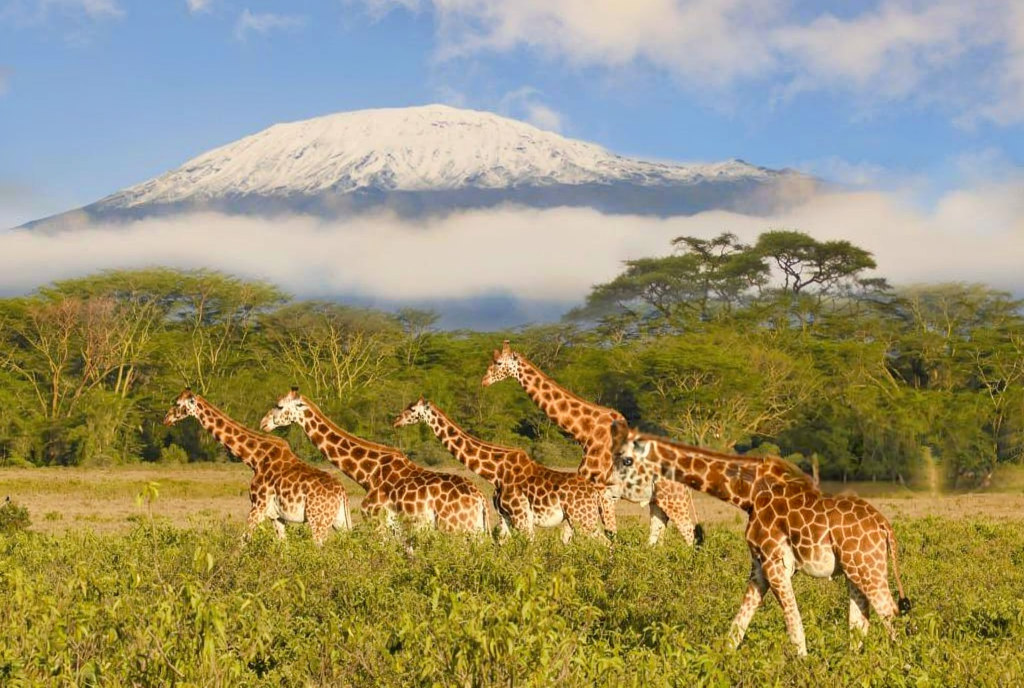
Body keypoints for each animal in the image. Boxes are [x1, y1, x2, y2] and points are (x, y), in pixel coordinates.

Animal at [162, 388, 351, 546]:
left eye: (177, 403)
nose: (166, 419)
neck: (254, 458)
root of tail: (342, 493)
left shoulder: (258, 507)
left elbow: (241, 542)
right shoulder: (277, 516)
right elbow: (283, 547)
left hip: (317, 520)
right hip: (339, 522)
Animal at [259, 388, 488, 534]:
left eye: (279, 406)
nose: (263, 423)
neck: (368, 474)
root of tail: (480, 499)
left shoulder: (376, 520)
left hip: (454, 529)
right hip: (475, 531)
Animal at [393, 397, 608, 544]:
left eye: (412, 409)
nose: (396, 420)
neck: (495, 472)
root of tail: (595, 493)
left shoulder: (521, 516)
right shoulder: (505, 518)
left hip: (582, 518)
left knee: (605, 543)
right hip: (578, 519)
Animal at [481, 340, 701, 546]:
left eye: (498, 363)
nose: (484, 381)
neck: (585, 433)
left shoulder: (603, 493)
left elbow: (607, 534)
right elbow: (570, 536)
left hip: (673, 498)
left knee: (689, 534)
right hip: (658, 500)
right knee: (658, 534)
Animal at [609, 422, 911, 656]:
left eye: (626, 459)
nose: (606, 484)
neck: (748, 493)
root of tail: (885, 527)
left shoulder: (776, 563)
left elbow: (794, 626)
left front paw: (803, 666)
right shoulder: (759, 566)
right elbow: (737, 626)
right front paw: (719, 663)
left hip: (867, 568)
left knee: (891, 614)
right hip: (854, 570)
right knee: (861, 622)